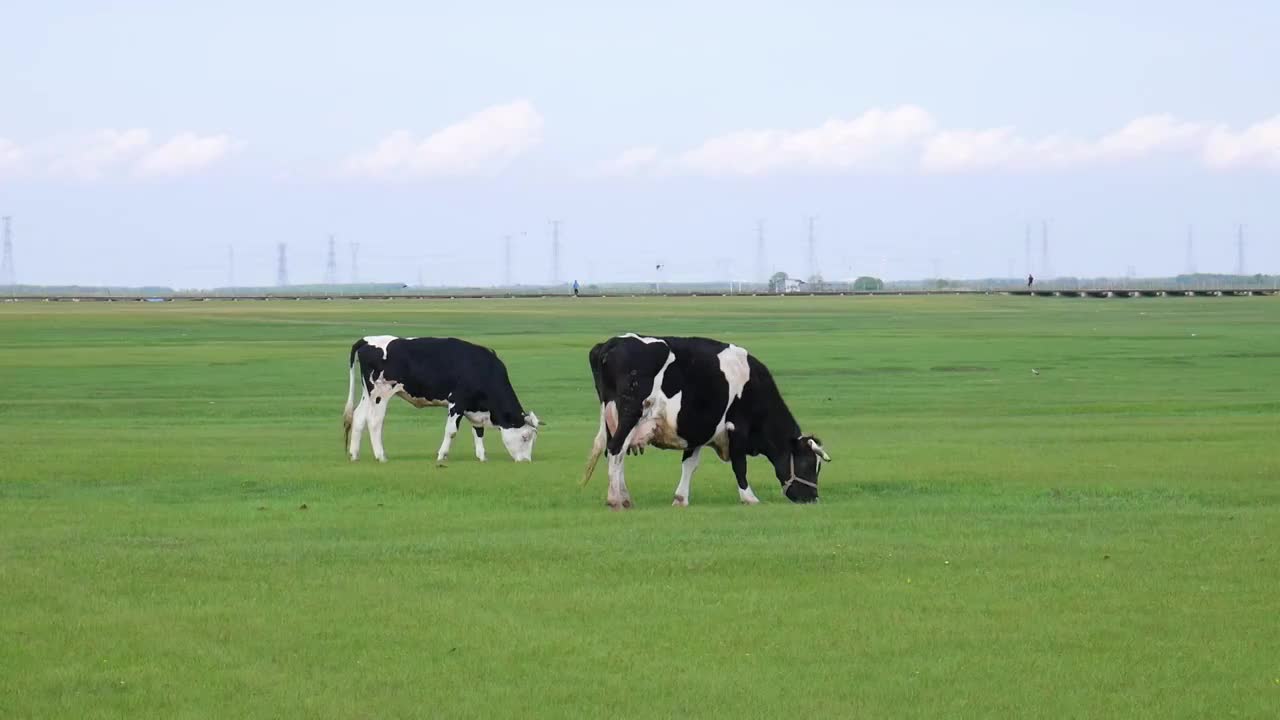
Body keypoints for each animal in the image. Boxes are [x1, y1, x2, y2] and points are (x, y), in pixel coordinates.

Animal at [340, 333, 540, 461]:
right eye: (525, 437)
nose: (526, 460)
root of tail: (367, 340)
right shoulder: (457, 402)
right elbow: (451, 431)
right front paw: (442, 455)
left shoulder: (474, 408)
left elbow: (478, 431)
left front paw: (482, 456)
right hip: (380, 394)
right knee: (374, 421)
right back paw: (380, 456)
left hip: (368, 394)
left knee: (359, 417)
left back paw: (354, 455)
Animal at [583, 333, 829, 507]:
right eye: (808, 463)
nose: (812, 498)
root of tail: (610, 343)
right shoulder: (736, 428)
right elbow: (740, 466)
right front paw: (749, 498)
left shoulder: (698, 431)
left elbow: (689, 464)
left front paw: (681, 499)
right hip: (629, 416)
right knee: (616, 450)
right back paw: (616, 500)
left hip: (611, 418)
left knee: (615, 453)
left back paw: (624, 497)